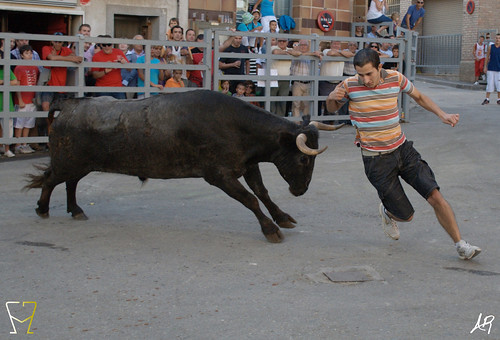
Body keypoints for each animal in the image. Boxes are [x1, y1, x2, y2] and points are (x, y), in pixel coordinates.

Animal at [25, 90, 342, 243]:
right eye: (304, 158)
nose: (301, 190)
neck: (236, 125)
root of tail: (69, 106)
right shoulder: (219, 175)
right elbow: (251, 199)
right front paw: (270, 230)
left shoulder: (248, 166)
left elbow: (262, 192)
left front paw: (283, 217)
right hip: (67, 161)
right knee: (50, 179)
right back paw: (42, 209)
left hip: (80, 164)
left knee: (70, 183)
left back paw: (76, 210)